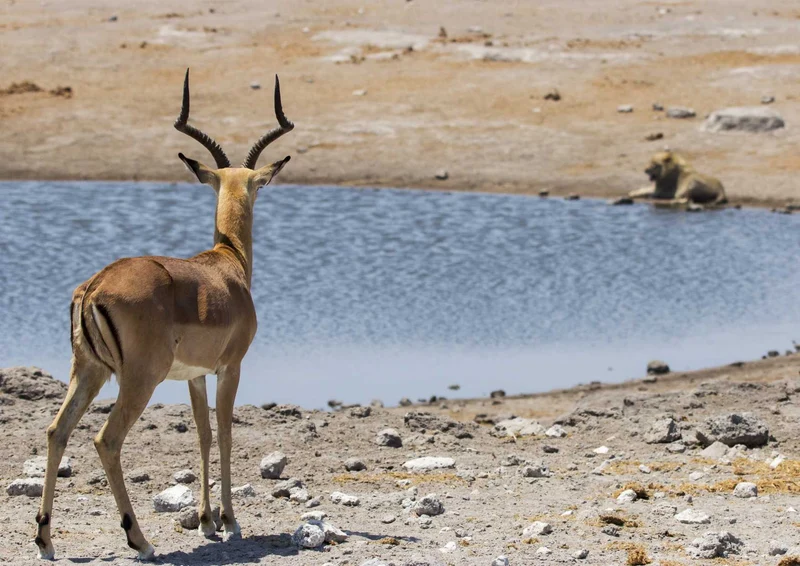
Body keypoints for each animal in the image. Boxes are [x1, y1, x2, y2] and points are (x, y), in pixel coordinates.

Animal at [34, 69, 294, 560]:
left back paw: (44, 539)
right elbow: (226, 433)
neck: (226, 264)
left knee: (57, 430)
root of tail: (94, 286)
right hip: (139, 379)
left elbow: (203, 434)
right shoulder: (230, 367)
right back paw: (140, 540)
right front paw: (229, 522)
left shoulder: (193, 375)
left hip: (89, 370)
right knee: (106, 439)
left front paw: (206, 522)